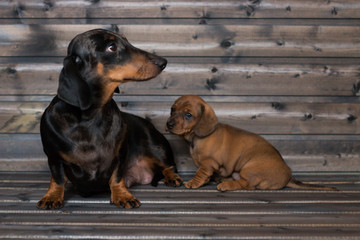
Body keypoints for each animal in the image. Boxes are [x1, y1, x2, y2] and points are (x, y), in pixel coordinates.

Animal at [167, 95, 336, 191]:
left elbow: (201, 173)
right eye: (172, 109)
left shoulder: (209, 163)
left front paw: (194, 182)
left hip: (249, 169)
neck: (195, 137)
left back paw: (226, 185)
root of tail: (288, 176)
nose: (168, 124)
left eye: (188, 114)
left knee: (246, 185)